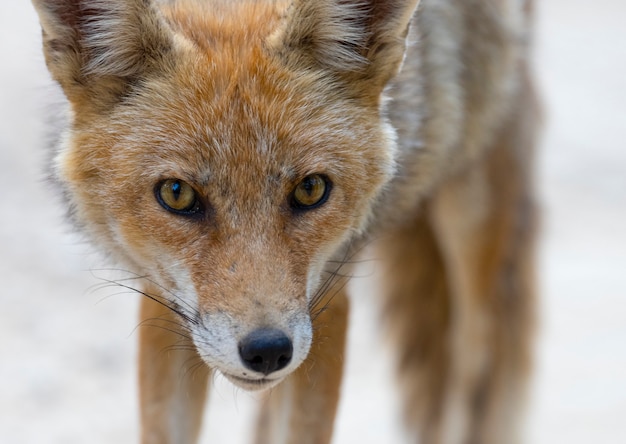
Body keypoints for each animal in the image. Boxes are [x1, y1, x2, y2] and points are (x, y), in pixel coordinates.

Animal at [30, 0, 536, 442]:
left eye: (310, 189)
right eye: (177, 194)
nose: (268, 351)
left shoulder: (328, 301)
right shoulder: (162, 301)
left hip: (473, 228)